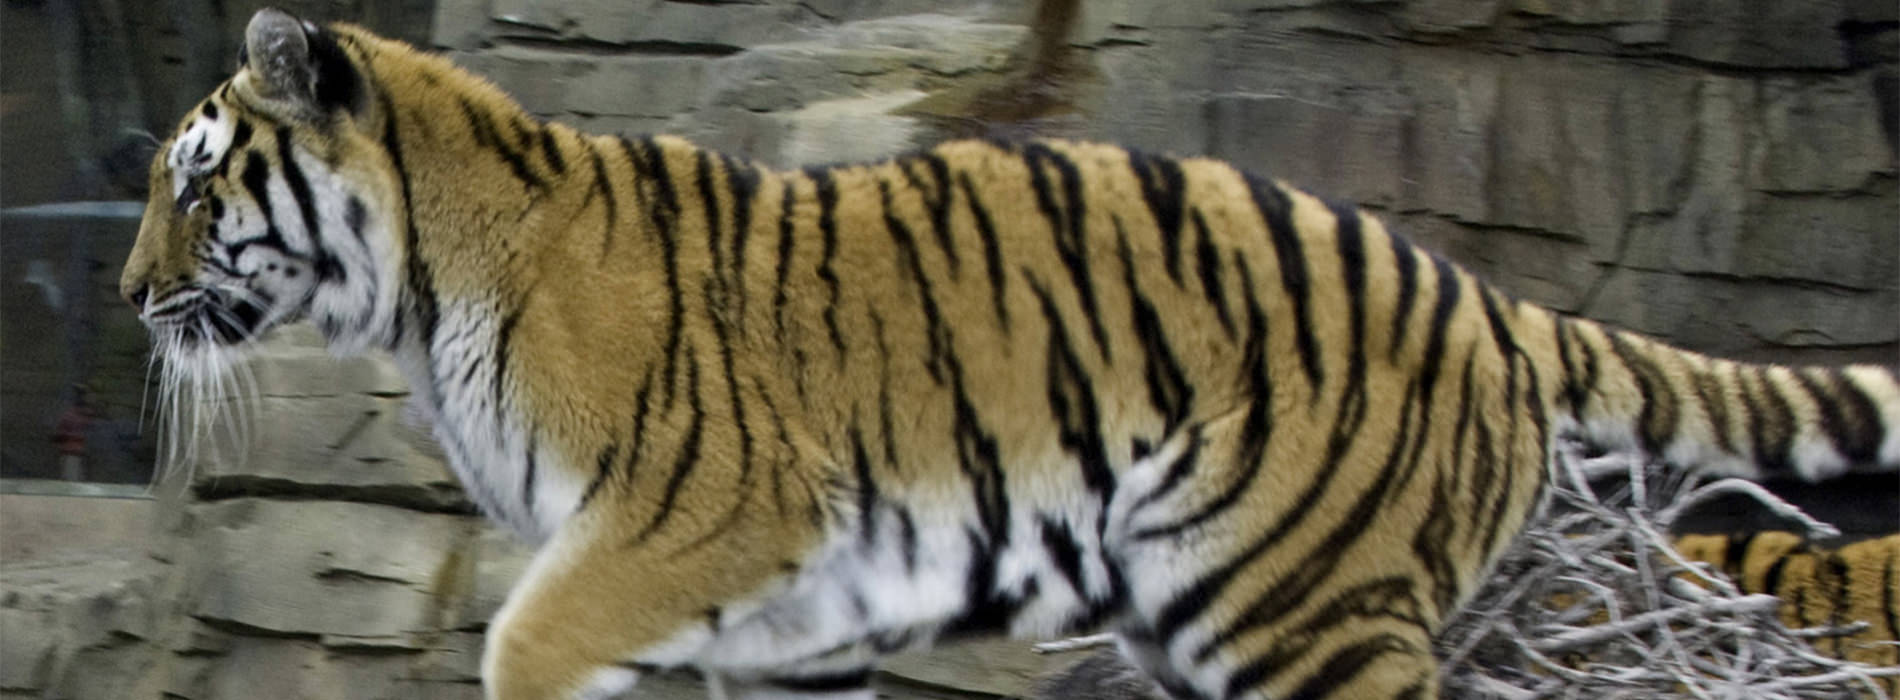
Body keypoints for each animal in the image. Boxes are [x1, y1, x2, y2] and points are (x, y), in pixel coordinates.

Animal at [118, 8, 1900, 700]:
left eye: (197, 183)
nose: (133, 295)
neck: (429, 279)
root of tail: (1472, 288)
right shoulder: (782, 614)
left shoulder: (684, 528)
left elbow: (519, 649)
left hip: (1304, 615)